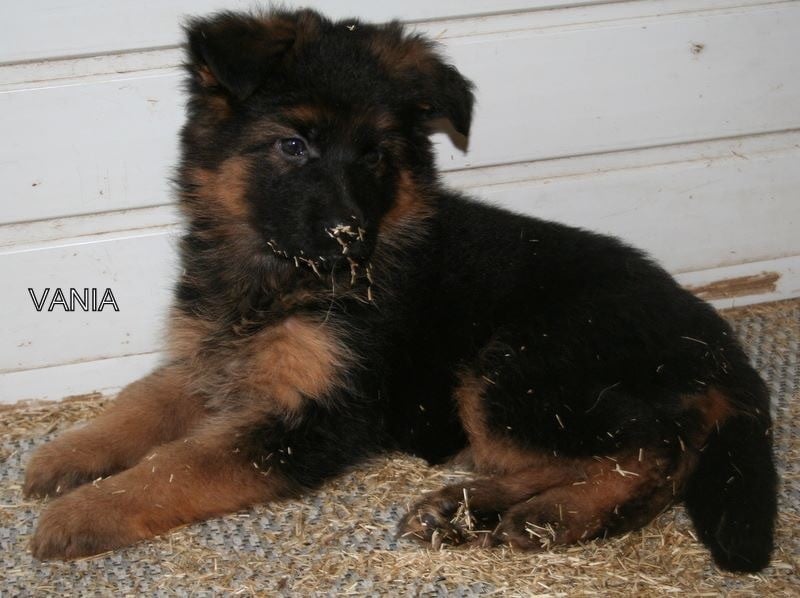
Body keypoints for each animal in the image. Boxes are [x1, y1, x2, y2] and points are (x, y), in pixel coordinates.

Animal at [24, 9, 777, 572]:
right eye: (293, 146)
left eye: (375, 155)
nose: (347, 235)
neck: (279, 282)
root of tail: (714, 339)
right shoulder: (212, 356)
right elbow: (141, 399)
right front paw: (67, 456)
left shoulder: (317, 413)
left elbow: (181, 462)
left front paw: (87, 510)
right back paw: (465, 507)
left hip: (515, 366)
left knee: (656, 450)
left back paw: (552, 515)